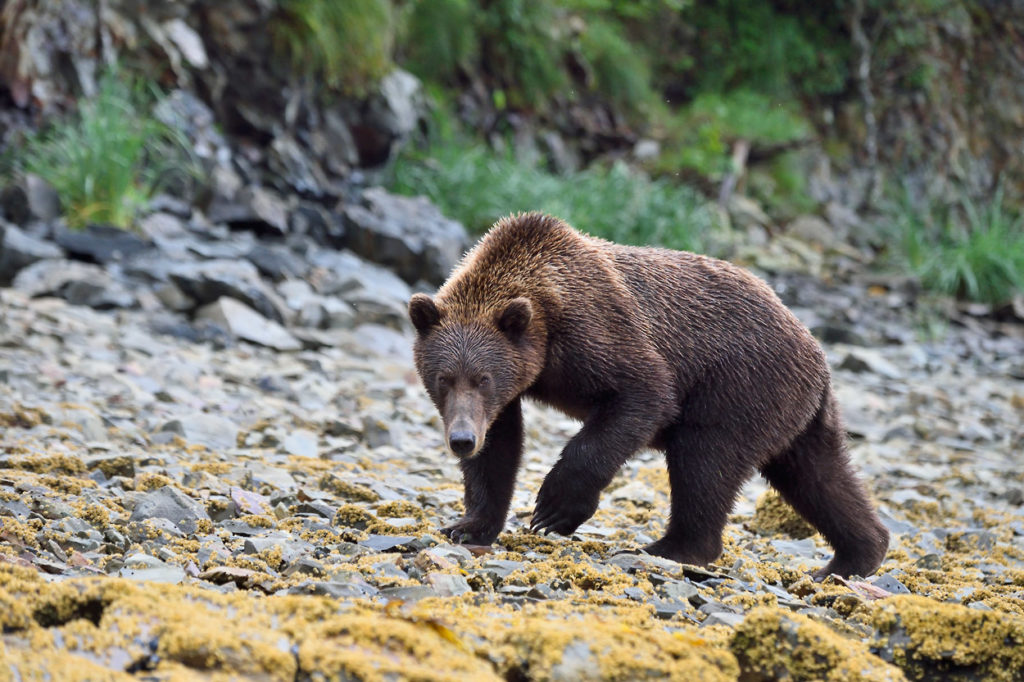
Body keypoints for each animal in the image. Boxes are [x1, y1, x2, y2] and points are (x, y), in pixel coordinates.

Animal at [407, 209, 888, 577]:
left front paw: (553, 509)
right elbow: (499, 448)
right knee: (818, 476)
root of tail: (815, 349)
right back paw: (854, 556)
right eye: (444, 378)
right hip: (798, 414)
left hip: (740, 387)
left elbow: (643, 394)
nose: (461, 439)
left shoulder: (594, 332)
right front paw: (467, 525)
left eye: (483, 378)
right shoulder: (507, 390)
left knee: (704, 460)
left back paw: (671, 547)